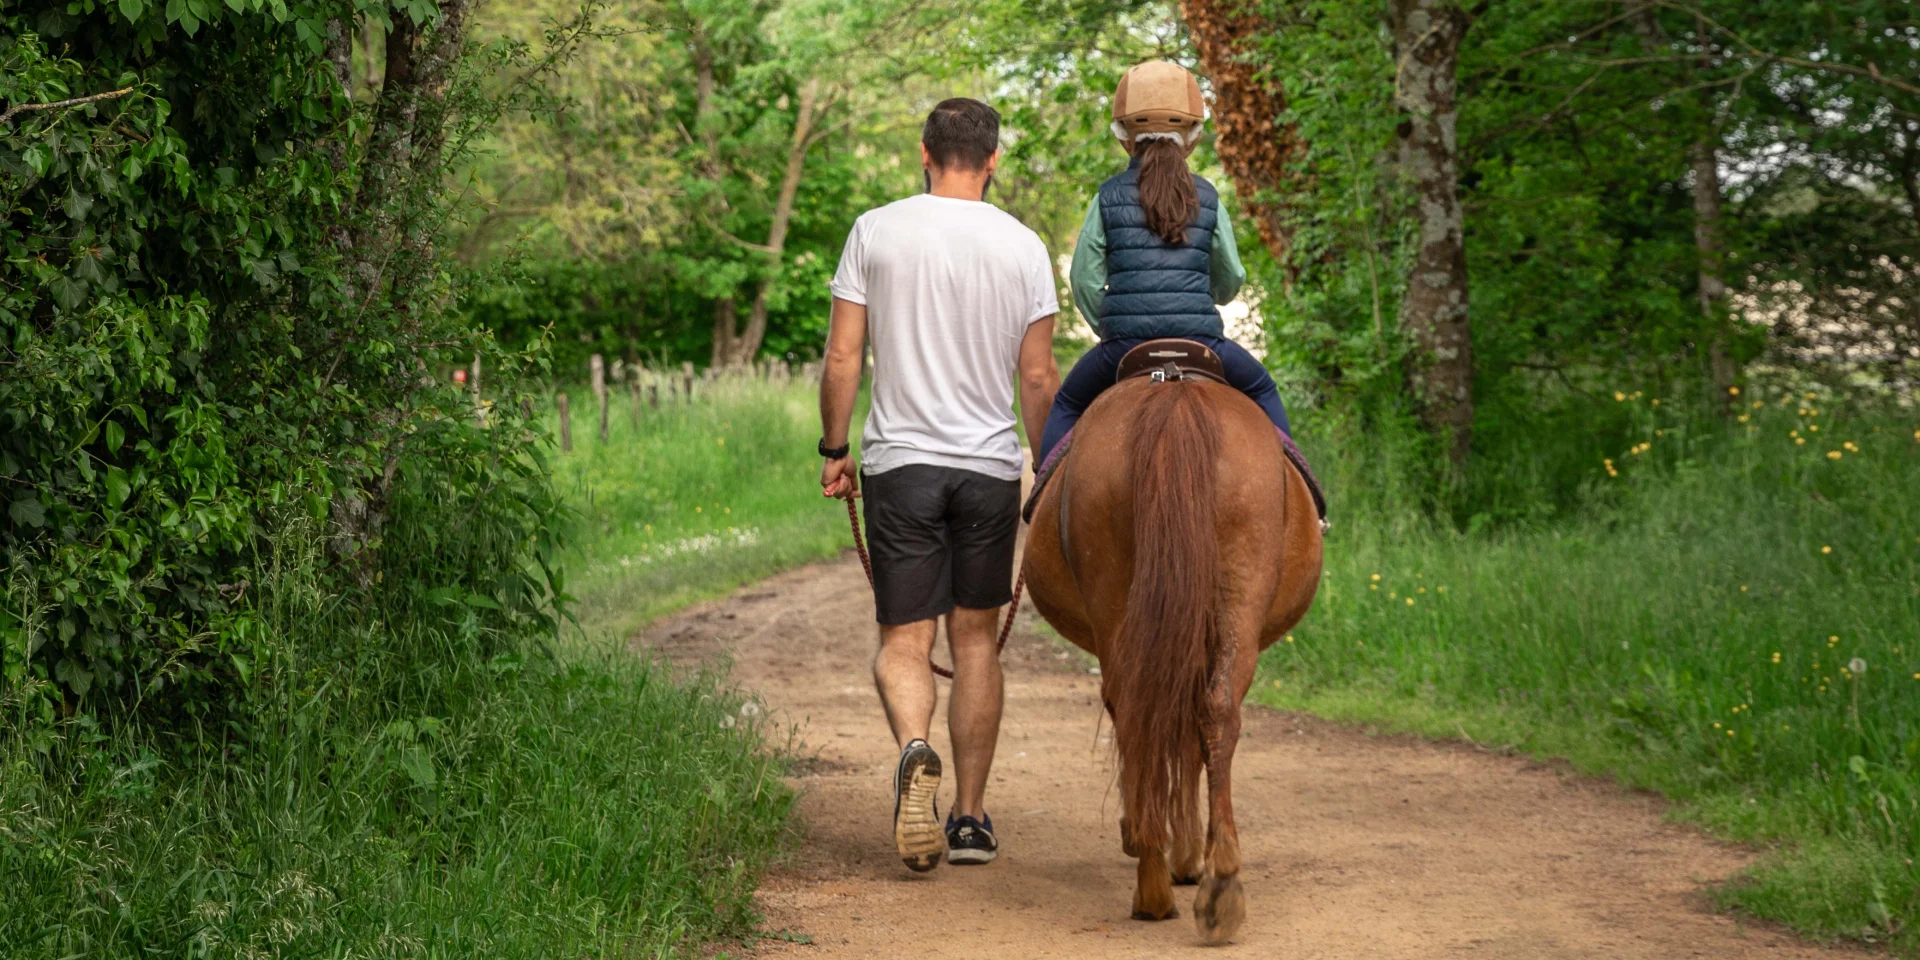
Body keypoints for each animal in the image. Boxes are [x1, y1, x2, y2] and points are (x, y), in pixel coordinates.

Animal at [1022, 366, 1323, 944]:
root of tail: (1175, 396)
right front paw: (1184, 853)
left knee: (1157, 712)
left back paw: (1169, 881)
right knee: (1204, 713)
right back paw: (1202, 885)